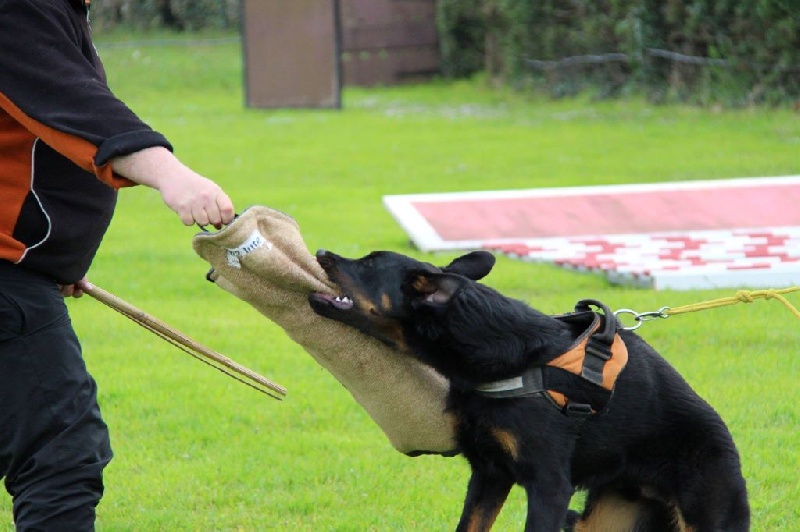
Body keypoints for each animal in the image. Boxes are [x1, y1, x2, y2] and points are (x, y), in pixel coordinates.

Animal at [308, 250, 752, 532]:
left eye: (368, 263)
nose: (322, 251)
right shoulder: (488, 474)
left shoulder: (549, 486)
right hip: (608, 521)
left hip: (708, 514)